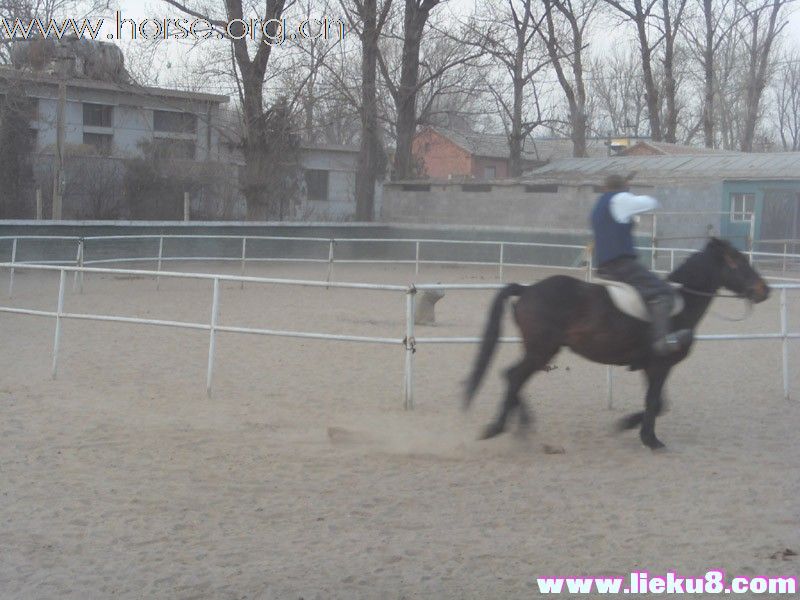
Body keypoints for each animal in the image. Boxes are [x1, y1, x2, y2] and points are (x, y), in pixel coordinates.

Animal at [466, 237, 772, 448]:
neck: (681, 304)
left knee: (513, 377)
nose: (764, 291)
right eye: (736, 262)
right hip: (542, 350)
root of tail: (528, 289)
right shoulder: (660, 365)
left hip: (540, 351)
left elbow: (660, 403)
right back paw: (500, 427)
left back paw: (521, 426)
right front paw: (649, 439)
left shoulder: (651, 367)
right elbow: (655, 402)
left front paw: (628, 426)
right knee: (514, 376)